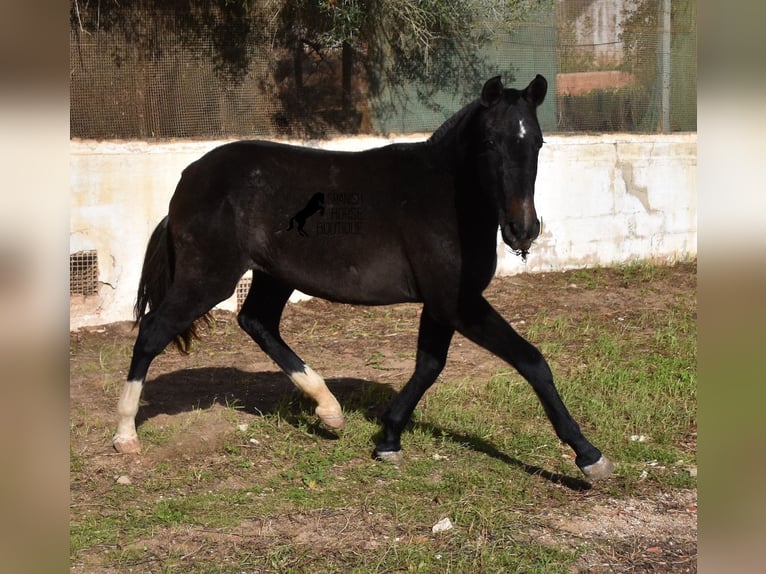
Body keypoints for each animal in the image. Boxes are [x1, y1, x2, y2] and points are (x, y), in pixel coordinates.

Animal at [114, 75, 616, 482]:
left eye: (537, 142)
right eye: (491, 141)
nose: (523, 230)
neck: (446, 198)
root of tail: (189, 177)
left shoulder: (441, 304)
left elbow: (428, 366)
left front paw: (388, 440)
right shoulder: (457, 301)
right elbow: (531, 361)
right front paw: (589, 456)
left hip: (274, 275)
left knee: (257, 323)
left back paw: (330, 411)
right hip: (209, 277)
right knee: (153, 332)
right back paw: (125, 435)